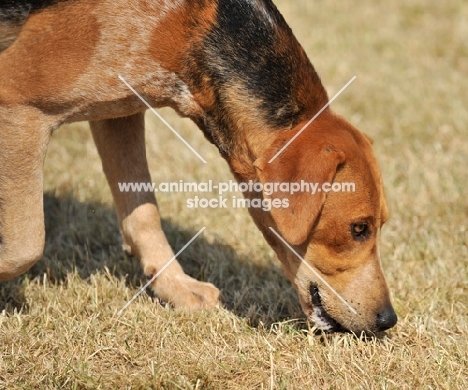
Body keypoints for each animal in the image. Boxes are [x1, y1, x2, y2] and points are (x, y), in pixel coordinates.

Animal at [0, 0, 396, 336]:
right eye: (359, 229)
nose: (389, 320)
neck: (190, 26)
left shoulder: (120, 111)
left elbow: (143, 213)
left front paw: (175, 288)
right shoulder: (17, 100)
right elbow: (26, 247)